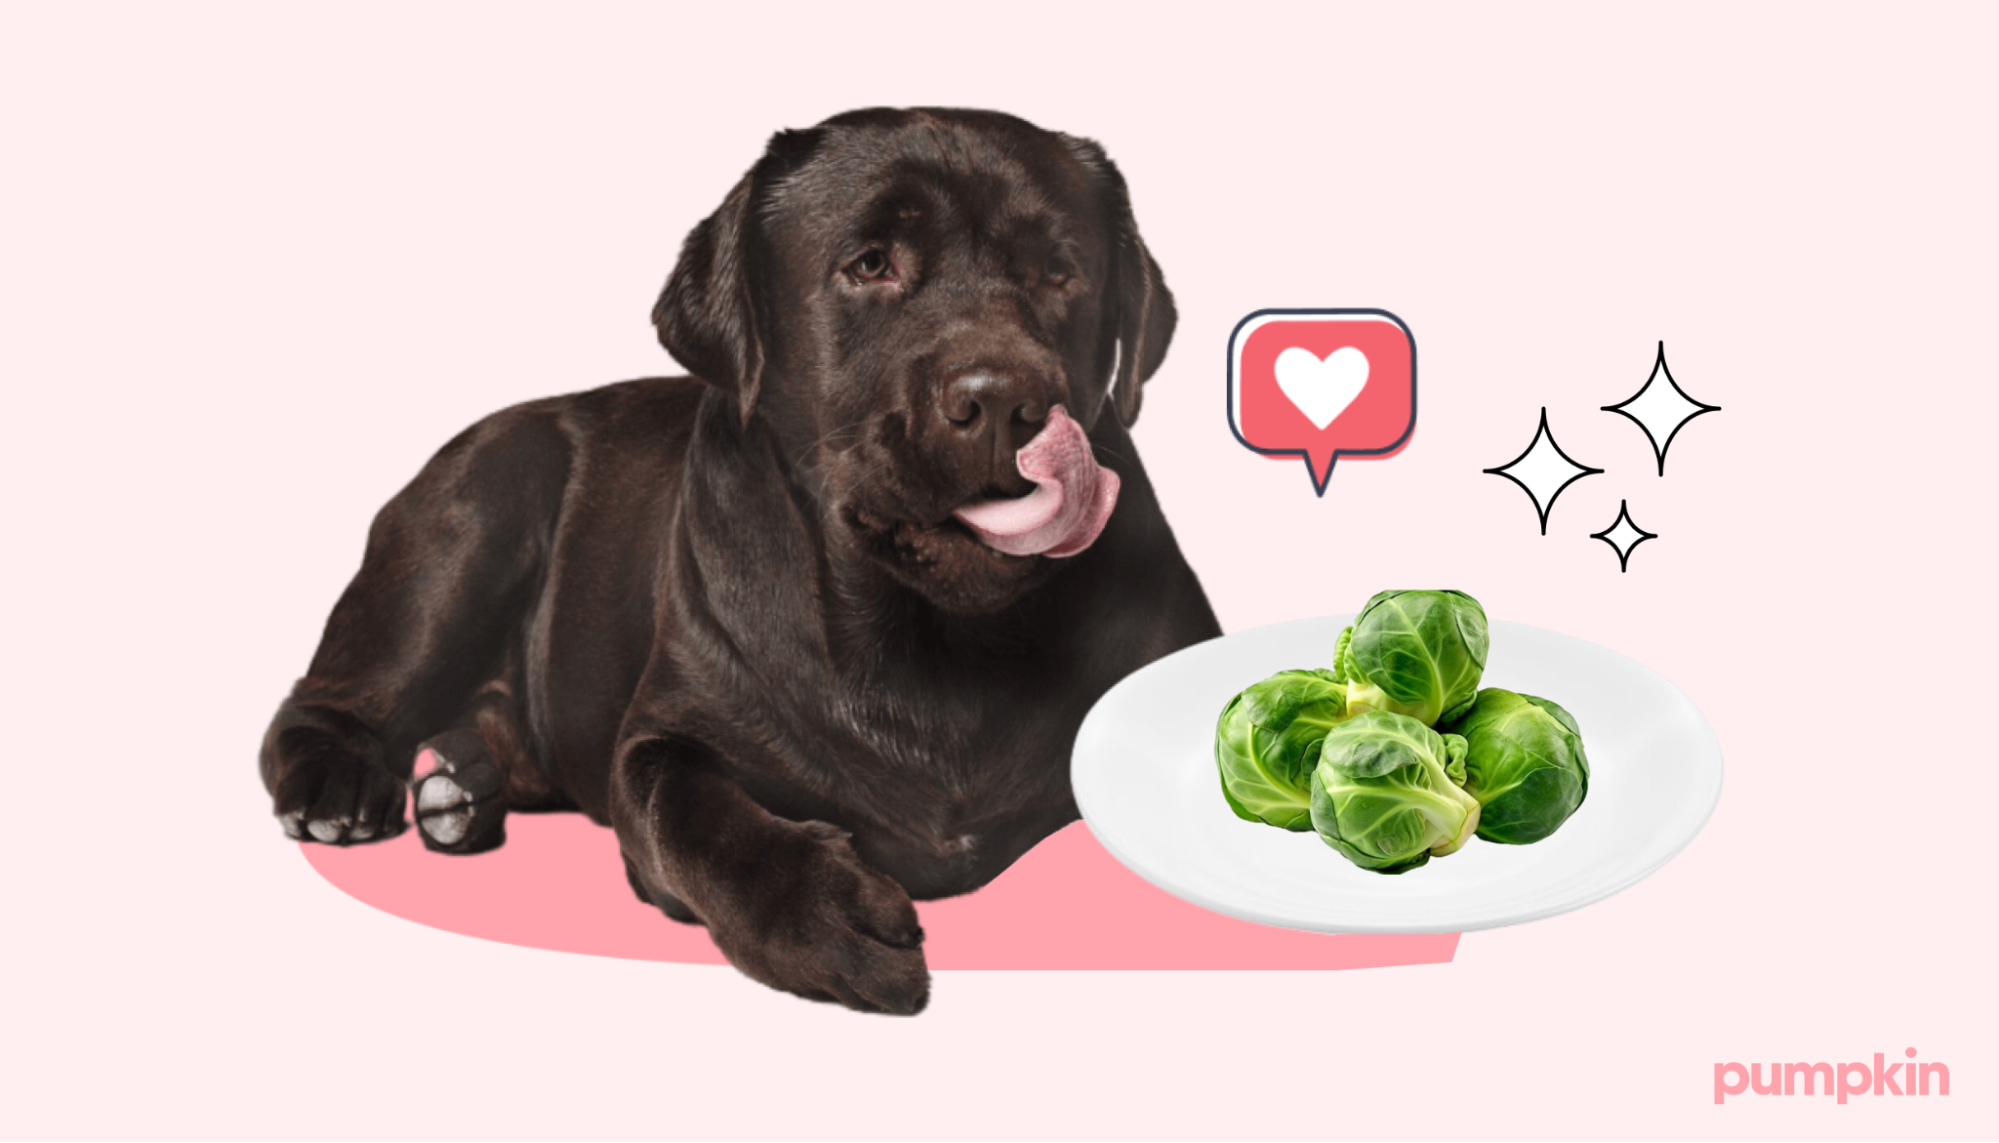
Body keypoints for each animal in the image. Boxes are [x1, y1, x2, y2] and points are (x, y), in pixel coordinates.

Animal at [263, 111, 1215, 1015]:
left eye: (1059, 271)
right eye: (870, 264)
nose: (1001, 400)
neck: (937, 639)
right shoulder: (666, 732)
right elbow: (687, 811)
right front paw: (825, 920)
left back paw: (459, 783)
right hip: (476, 511)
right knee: (323, 701)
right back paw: (346, 785)